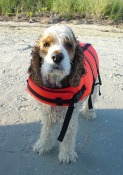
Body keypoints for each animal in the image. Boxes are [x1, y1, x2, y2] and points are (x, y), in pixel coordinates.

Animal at [27, 25, 101, 164]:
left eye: (69, 45)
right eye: (46, 44)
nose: (57, 57)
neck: (56, 87)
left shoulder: (70, 115)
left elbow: (67, 136)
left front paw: (67, 155)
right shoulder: (47, 112)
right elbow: (46, 131)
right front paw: (44, 145)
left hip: (95, 86)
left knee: (91, 101)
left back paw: (90, 113)